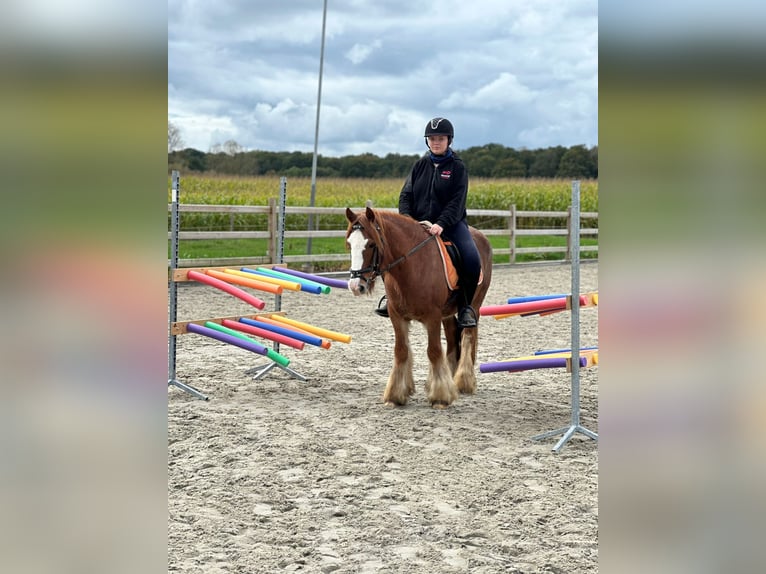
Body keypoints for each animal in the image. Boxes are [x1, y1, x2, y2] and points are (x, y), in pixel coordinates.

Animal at [346, 207, 496, 410]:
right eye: (349, 244)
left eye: (370, 244)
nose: (355, 286)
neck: (412, 267)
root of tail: (482, 237)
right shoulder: (397, 315)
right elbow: (401, 351)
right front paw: (396, 395)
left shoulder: (432, 317)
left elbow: (433, 351)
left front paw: (440, 397)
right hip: (447, 313)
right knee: (451, 338)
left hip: (475, 304)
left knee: (467, 337)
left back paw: (463, 381)